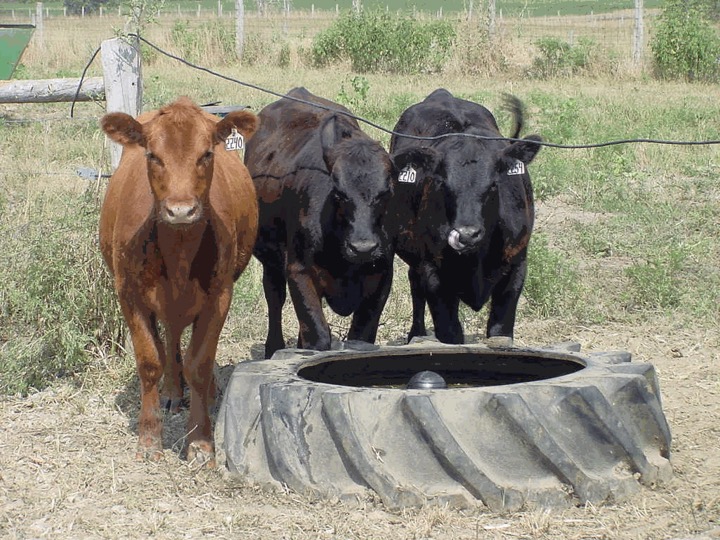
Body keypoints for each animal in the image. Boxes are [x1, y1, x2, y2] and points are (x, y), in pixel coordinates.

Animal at [100, 96, 258, 464]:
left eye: (207, 154)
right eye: (152, 155)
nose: (181, 210)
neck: (178, 254)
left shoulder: (220, 295)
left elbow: (199, 363)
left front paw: (200, 441)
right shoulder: (128, 295)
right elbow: (149, 361)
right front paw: (148, 439)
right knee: (170, 340)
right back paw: (172, 392)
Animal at [246, 87, 394, 358]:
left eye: (386, 192)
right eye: (339, 193)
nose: (363, 247)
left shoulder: (381, 279)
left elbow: (361, 337)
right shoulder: (299, 271)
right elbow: (318, 335)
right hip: (271, 261)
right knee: (274, 297)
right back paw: (274, 348)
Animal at [388, 86, 540, 344]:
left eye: (493, 185)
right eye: (442, 183)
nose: (467, 234)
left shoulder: (517, 267)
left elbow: (500, 331)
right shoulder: (433, 275)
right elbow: (450, 333)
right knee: (415, 285)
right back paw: (416, 334)